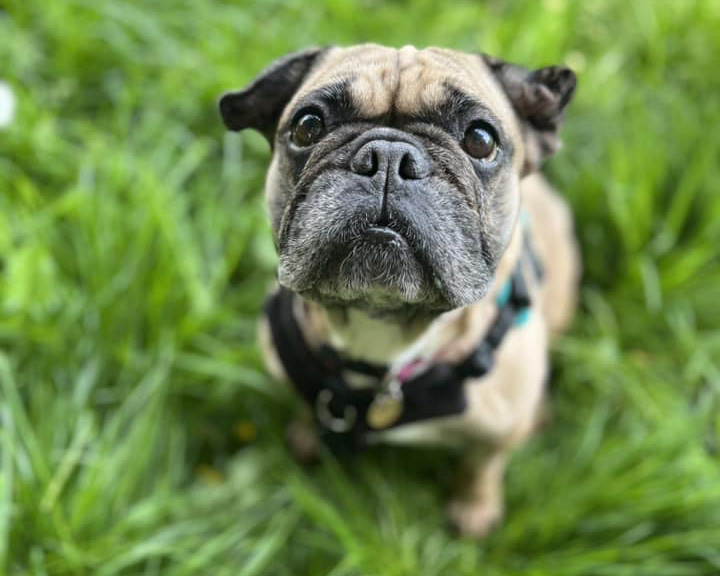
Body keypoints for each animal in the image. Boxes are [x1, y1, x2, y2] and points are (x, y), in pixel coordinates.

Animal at [218, 44, 580, 536]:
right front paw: (307, 435)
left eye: (481, 140)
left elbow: (482, 464)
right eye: (308, 126)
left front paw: (475, 507)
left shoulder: (498, 431)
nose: (388, 156)